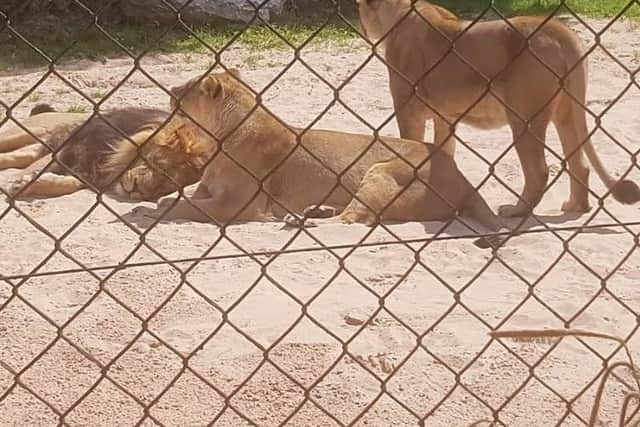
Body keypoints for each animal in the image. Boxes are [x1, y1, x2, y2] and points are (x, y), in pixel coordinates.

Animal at [0, 106, 211, 201]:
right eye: (157, 163)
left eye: (167, 187)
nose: (136, 190)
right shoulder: (69, 150)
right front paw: (19, 183)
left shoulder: (89, 171)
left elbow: (70, 183)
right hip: (29, 131)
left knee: (22, 155)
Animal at [134, 70, 512, 248]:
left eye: (187, 88)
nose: (170, 92)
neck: (218, 136)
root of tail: (462, 177)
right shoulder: (207, 190)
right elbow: (181, 197)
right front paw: (148, 204)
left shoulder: (237, 206)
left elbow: (185, 208)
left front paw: (151, 211)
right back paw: (314, 211)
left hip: (383, 171)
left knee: (357, 220)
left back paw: (306, 222)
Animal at [357, 0, 640, 217]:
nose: (361, 23)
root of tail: (558, 28)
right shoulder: (445, 117)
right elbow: (443, 154)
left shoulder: (408, 111)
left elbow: (410, 146)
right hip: (567, 113)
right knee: (579, 165)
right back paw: (575, 207)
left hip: (524, 116)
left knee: (539, 171)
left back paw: (516, 211)